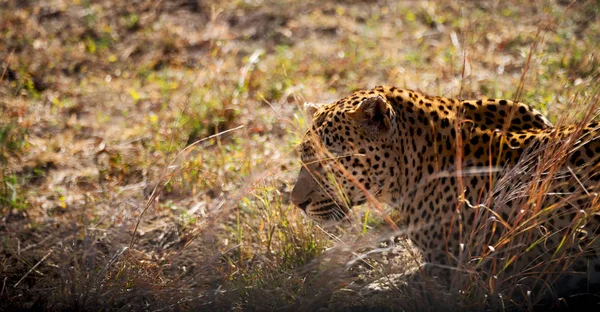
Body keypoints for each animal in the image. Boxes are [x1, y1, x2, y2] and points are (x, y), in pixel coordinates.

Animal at [290, 84, 600, 308]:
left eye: (330, 161)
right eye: (303, 156)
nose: (297, 202)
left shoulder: (459, 269)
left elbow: (403, 282)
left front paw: (360, 290)